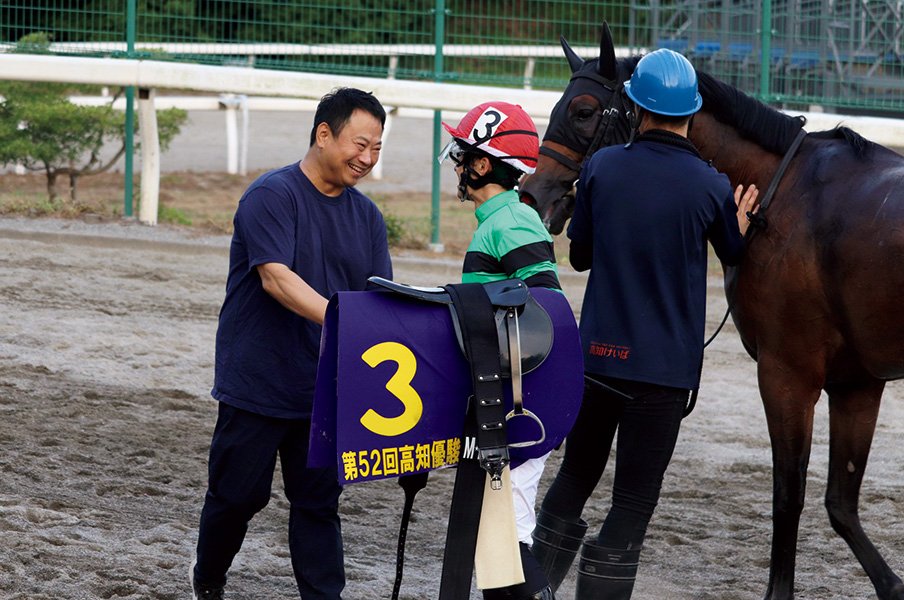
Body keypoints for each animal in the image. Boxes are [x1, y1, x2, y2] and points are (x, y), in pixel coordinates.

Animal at [520, 23, 904, 600]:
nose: (532, 194)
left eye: (583, 111)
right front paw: (892, 585)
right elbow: (841, 503)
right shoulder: (856, 382)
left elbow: (789, 495)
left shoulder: (788, 375)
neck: (789, 195)